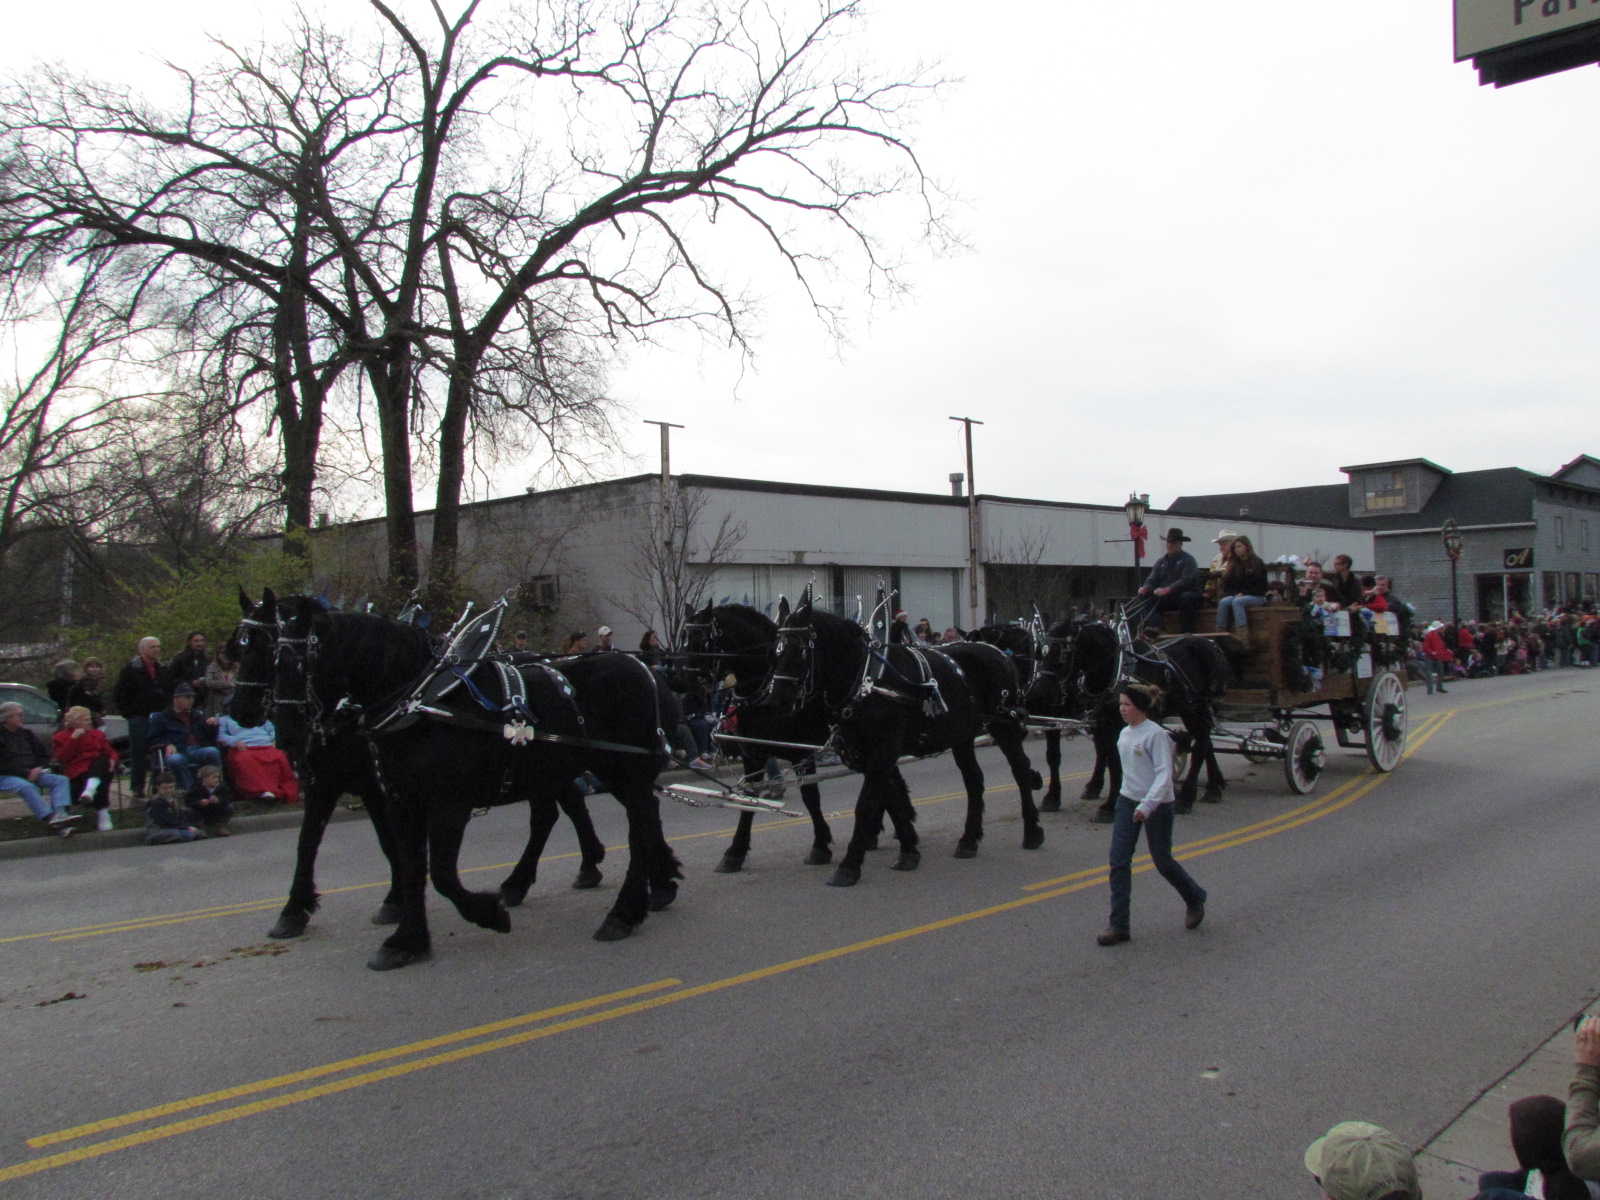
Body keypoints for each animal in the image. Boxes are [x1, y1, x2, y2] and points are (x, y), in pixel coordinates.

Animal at [232, 598, 681, 972]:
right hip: (584, 770)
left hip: (622, 770)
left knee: (636, 825)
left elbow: (443, 874)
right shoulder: (394, 799)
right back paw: (648, 883)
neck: (416, 703)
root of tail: (650, 671)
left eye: (292, 661)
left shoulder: (447, 804)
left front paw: (487, 914)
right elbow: (405, 864)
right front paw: (405, 940)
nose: (284, 732)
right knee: (612, 815)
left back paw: (622, 911)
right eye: (245, 653)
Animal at [678, 601, 838, 876]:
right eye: (685, 642)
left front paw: (820, 845)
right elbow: (748, 799)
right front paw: (735, 852)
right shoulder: (752, 752)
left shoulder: (803, 752)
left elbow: (811, 797)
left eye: (703, 642)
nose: (691, 697)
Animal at [764, 595, 1043, 889]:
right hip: (962, 735)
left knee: (1020, 770)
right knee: (974, 780)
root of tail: (1000, 653)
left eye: (800, 650)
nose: (775, 700)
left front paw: (850, 865)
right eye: (775, 651)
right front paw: (909, 850)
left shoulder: (883, 751)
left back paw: (1032, 830)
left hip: (1004, 726)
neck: (866, 679)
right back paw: (969, 839)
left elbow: (866, 805)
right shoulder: (864, 754)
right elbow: (893, 799)